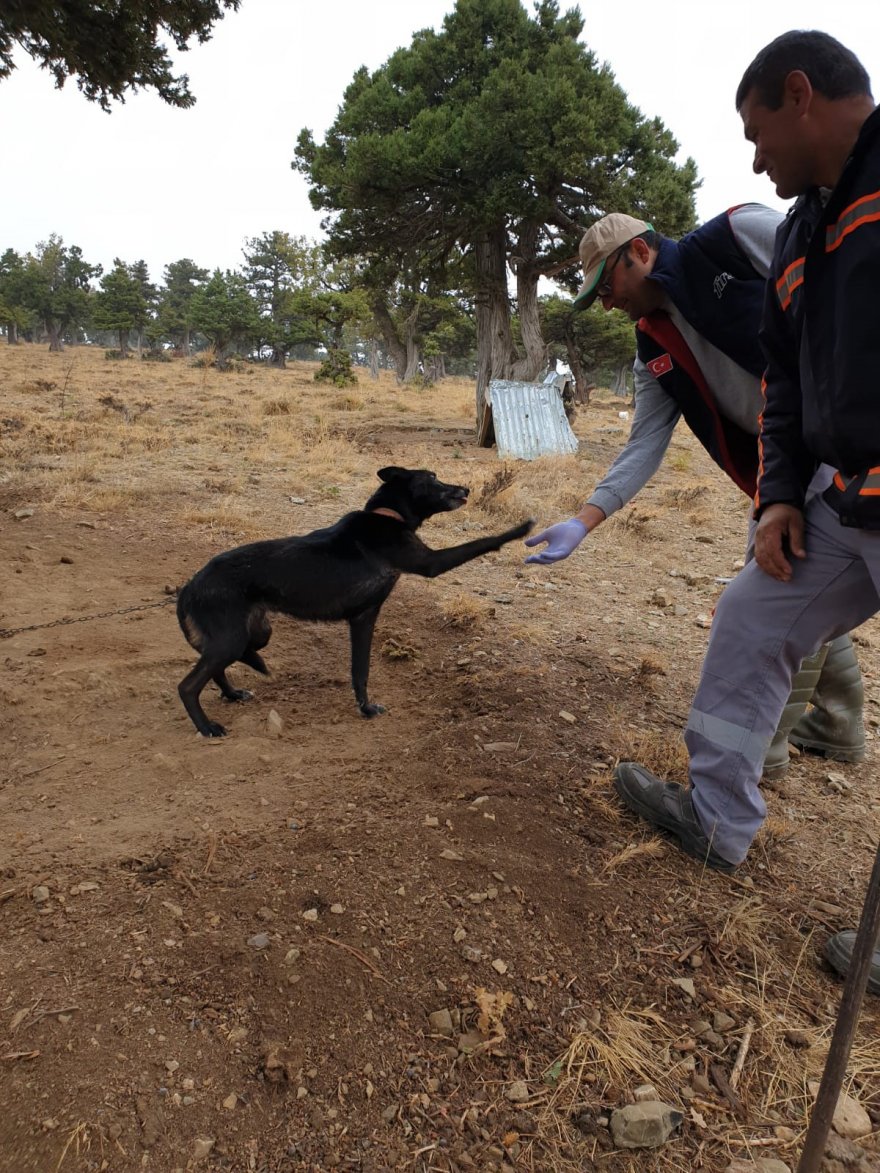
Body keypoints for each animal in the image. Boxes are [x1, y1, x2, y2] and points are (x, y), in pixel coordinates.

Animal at [177, 464, 535, 731]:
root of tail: (190, 586)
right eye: (432, 477)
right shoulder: (427, 566)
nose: (466, 489)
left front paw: (364, 708)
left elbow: (359, 670)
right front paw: (518, 530)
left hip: (255, 633)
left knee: (222, 665)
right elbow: (480, 543)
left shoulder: (363, 617)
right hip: (233, 638)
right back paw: (207, 727)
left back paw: (233, 694)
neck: (387, 515)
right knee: (189, 685)